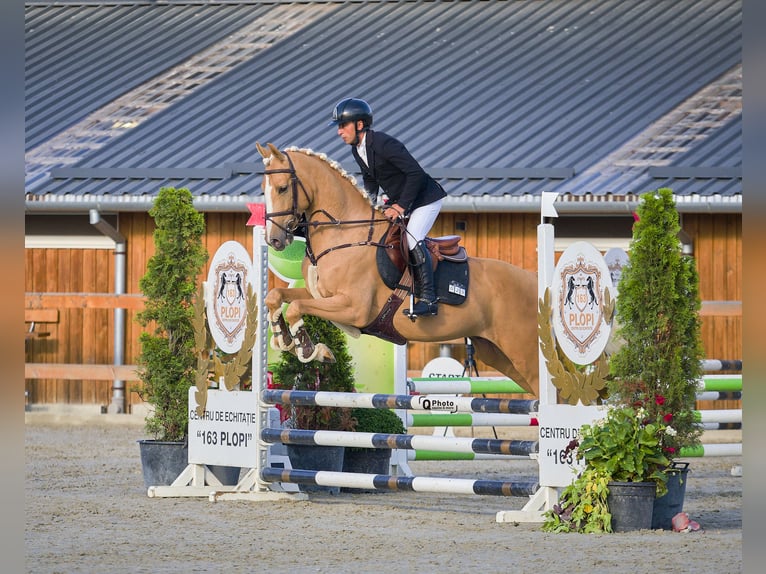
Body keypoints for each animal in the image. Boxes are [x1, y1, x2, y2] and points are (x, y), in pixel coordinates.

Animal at [255, 142, 544, 398]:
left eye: (282, 188)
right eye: (263, 190)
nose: (274, 240)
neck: (345, 233)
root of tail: (536, 283)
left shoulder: (353, 308)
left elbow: (295, 308)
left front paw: (309, 350)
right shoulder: (322, 296)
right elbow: (276, 296)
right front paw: (283, 339)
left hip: (524, 354)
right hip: (498, 354)